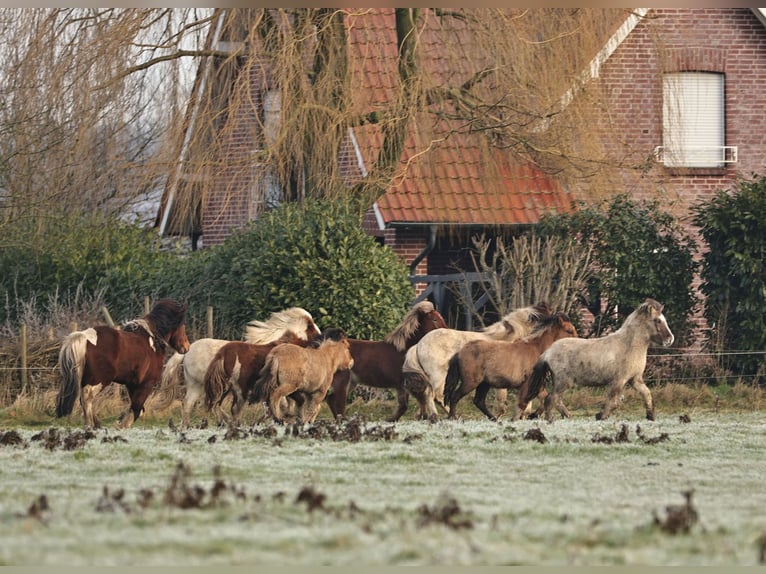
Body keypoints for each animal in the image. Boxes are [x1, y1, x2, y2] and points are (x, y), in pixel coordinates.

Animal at [54, 300, 190, 430]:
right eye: (182, 325)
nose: (186, 347)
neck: (153, 339)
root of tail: (84, 336)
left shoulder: (132, 385)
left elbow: (137, 408)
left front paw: (120, 421)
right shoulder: (147, 383)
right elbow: (136, 408)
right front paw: (121, 425)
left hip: (86, 379)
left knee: (84, 400)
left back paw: (96, 424)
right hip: (99, 380)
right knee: (87, 398)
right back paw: (90, 425)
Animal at [402, 306, 552, 424]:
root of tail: (418, 345)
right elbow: (505, 404)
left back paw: (427, 416)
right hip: (439, 376)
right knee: (435, 395)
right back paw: (443, 417)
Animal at [440, 316, 580, 424]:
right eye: (569, 330)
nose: (577, 343)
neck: (537, 350)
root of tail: (460, 352)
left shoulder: (538, 386)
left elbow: (547, 400)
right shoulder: (528, 384)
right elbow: (523, 403)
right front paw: (519, 418)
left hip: (484, 384)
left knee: (479, 401)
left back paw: (495, 419)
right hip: (470, 383)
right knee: (454, 397)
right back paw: (453, 417)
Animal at [516, 302, 680, 424]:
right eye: (657, 320)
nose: (670, 339)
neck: (628, 346)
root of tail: (548, 352)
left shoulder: (635, 379)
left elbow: (646, 394)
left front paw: (651, 416)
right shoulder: (618, 381)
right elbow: (614, 402)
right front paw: (600, 416)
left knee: (555, 400)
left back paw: (567, 416)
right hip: (563, 382)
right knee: (551, 399)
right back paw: (550, 420)